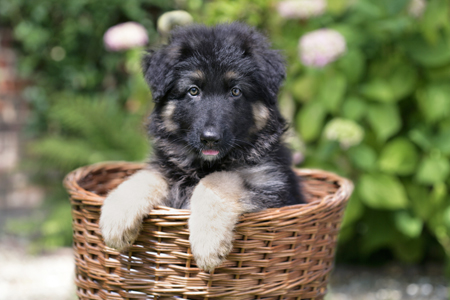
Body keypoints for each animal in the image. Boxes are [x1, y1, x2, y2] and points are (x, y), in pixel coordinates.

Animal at [100, 22, 304, 272]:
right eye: (193, 90)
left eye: (235, 91)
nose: (210, 138)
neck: (202, 164)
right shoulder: (169, 170)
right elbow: (146, 176)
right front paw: (116, 217)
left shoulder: (269, 186)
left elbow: (216, 181)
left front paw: (208, 244)